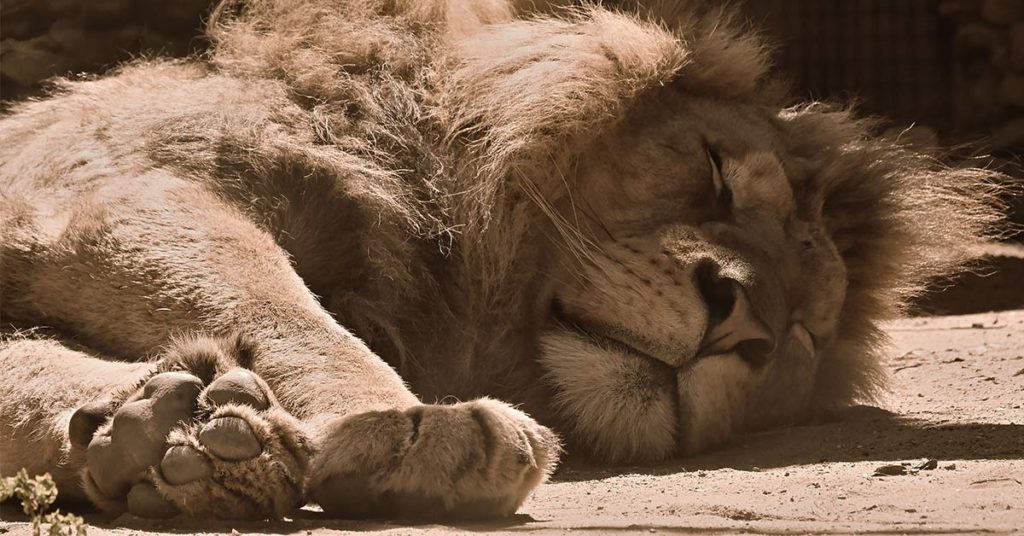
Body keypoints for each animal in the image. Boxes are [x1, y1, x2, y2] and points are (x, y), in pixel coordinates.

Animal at [0, 0, 1000, 521]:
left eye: (802, 334)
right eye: (714, 177)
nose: (739, 321)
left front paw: (165, 435)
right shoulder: (103, 184)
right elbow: (274, 302)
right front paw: (411, 423)